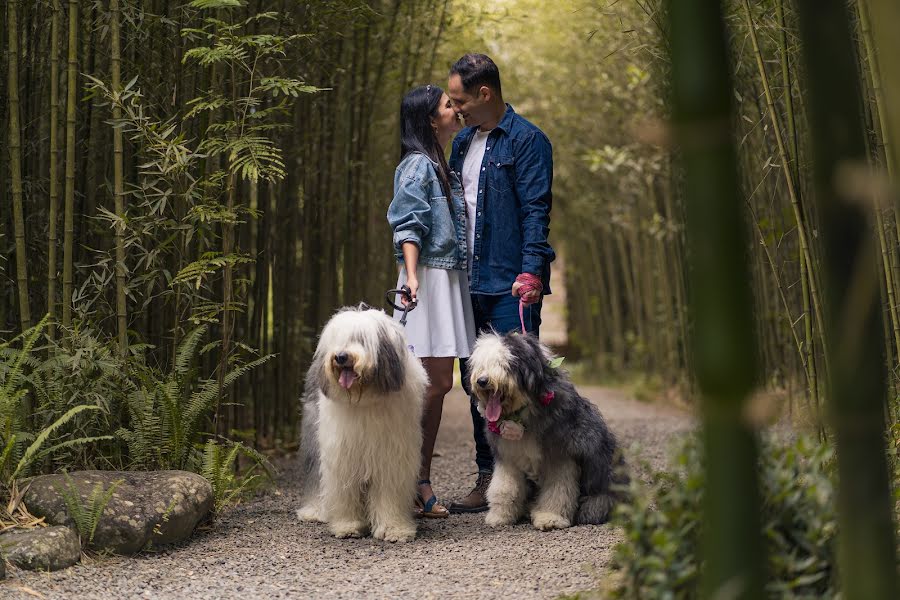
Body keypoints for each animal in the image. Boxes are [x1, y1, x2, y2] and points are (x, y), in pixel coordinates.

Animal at [472, 332, 624, 528]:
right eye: (482, 365)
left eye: (504, 363)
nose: (482, 381)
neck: (524, 413)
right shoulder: (508, 457)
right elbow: (504, 486)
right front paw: (500, 515)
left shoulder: (560, 456)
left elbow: (558, 489)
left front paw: (550, 517)